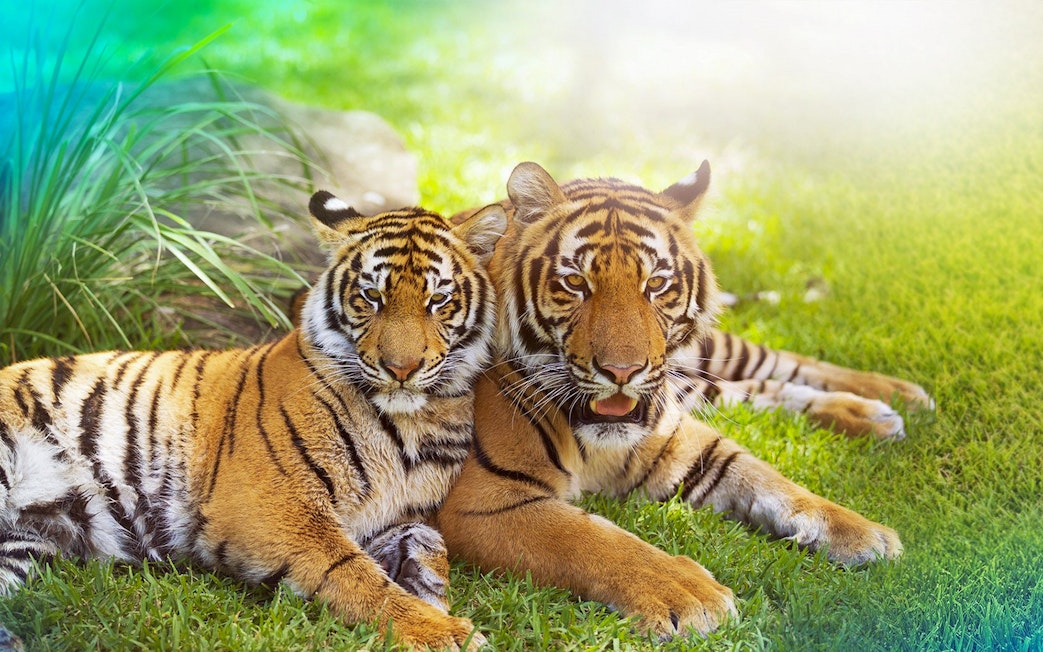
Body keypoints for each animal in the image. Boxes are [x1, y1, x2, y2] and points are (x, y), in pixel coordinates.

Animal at [0, 192, 508, 650]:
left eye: (438, 300)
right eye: (371, 297)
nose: (401, 369)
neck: (414, 421)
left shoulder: (394, 516)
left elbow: (429, 542)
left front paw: (430, 590)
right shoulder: (273, 505)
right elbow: (354, 574)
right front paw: (443, 631)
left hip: (24, 542)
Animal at [435, 161, 931, 639]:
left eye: (656, 284)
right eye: (575, 283)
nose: (622, 372)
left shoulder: (680, 442)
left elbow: (769, 479)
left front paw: (863, 532)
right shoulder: (483, 499)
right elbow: (590, 538)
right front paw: (688, 594)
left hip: (708, 355)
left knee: (774, 361)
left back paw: (896, 395)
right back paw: (877, 412)